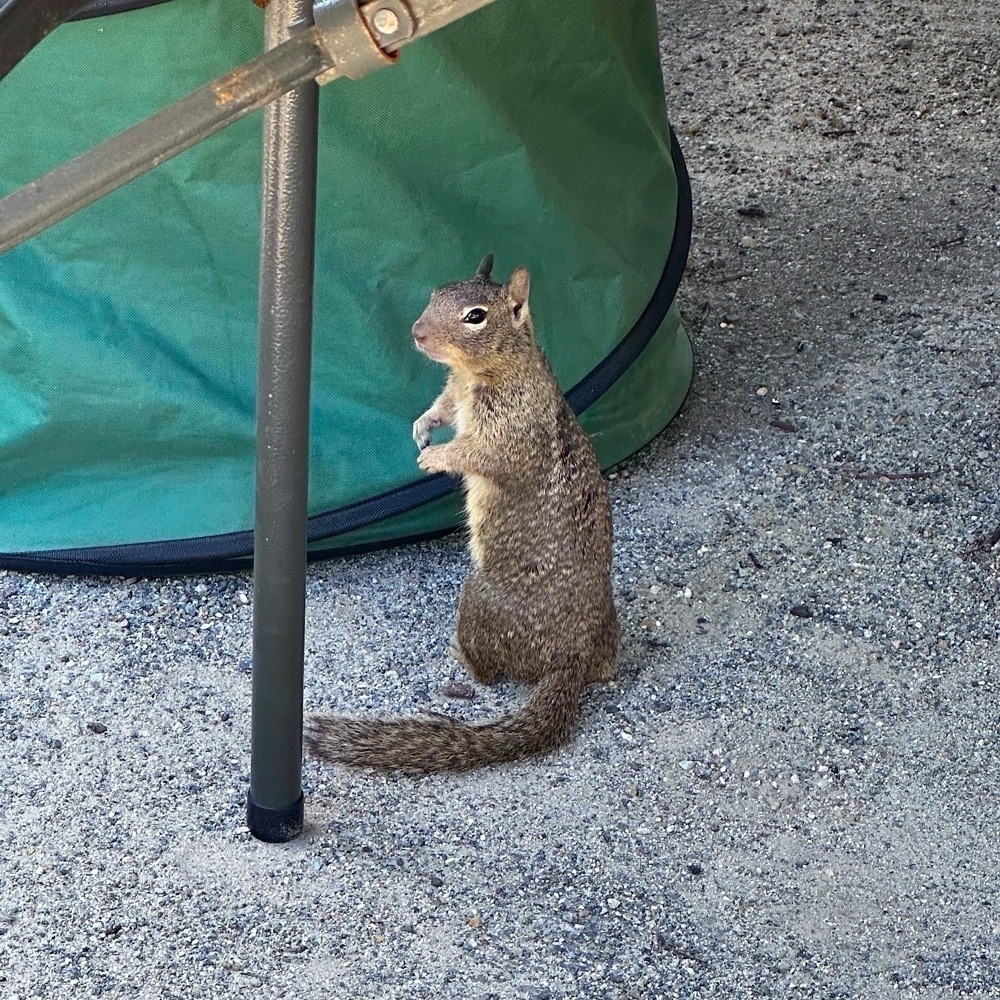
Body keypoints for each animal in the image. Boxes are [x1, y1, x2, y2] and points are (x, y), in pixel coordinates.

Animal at [304, 255, 619, 772]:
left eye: (476, 316)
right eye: (436, 292)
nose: (417, 332)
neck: (481, 371)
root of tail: (569, 658)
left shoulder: (509, 426)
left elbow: (478, 453)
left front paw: (436, 458)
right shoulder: (454, 392)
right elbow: (443, 408)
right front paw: (422, 426)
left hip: (479, 599)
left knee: (490, 674)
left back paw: (462, 653)